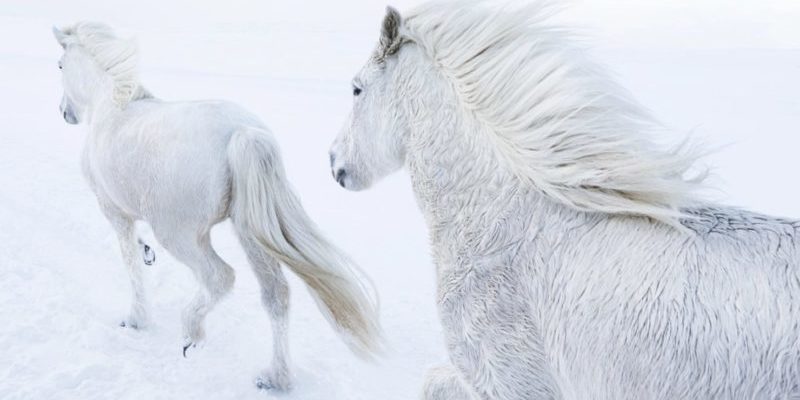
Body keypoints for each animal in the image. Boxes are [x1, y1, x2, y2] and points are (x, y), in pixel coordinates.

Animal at [53, 22, 382, 390]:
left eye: (60, 65)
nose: (64, 112)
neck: (111, 107)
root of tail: (244, 134)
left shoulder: (113, 210)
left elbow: (130, 264)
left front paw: (136, 319)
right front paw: (146, 251)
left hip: (181, 235)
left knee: (219, 277)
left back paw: (191, 333)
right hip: (251, 233)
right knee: (276, 295)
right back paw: (276, 378)